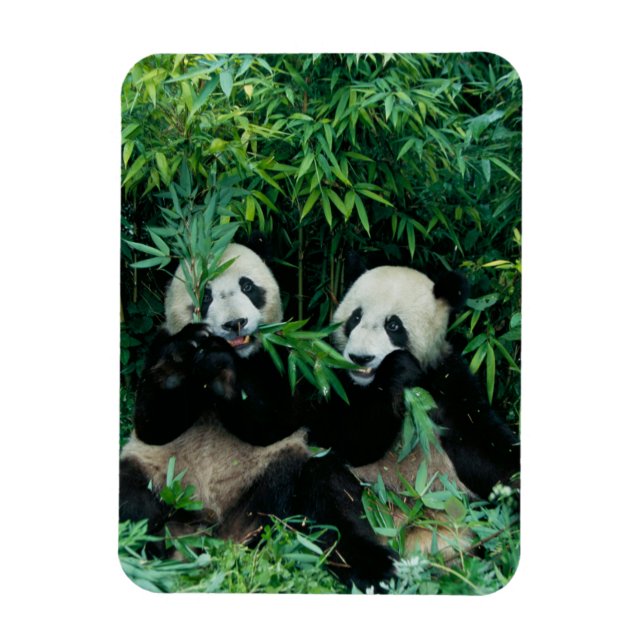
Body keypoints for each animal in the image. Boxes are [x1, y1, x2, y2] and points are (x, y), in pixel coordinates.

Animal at [119, 242, 395, 591]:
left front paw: (221, 367)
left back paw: (377, 571)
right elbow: (151, 424)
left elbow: (279, 420)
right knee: (131, 496)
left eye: (248, 287)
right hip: (160, 478)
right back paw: (148, 550)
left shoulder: (289, 356)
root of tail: (217, 536)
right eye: (205, 294)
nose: (234, 323)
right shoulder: (157, 345)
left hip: (275, 483)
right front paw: (180, 360)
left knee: (326, 492)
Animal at [305, 262, 520, 555]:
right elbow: (344, 438)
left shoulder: (447, 384)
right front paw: (397, 368)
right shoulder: (331, 376)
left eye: (393, 325)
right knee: (330, 502)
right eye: (355, 318)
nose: (361, 358)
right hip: (363, 495)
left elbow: (484, 449)